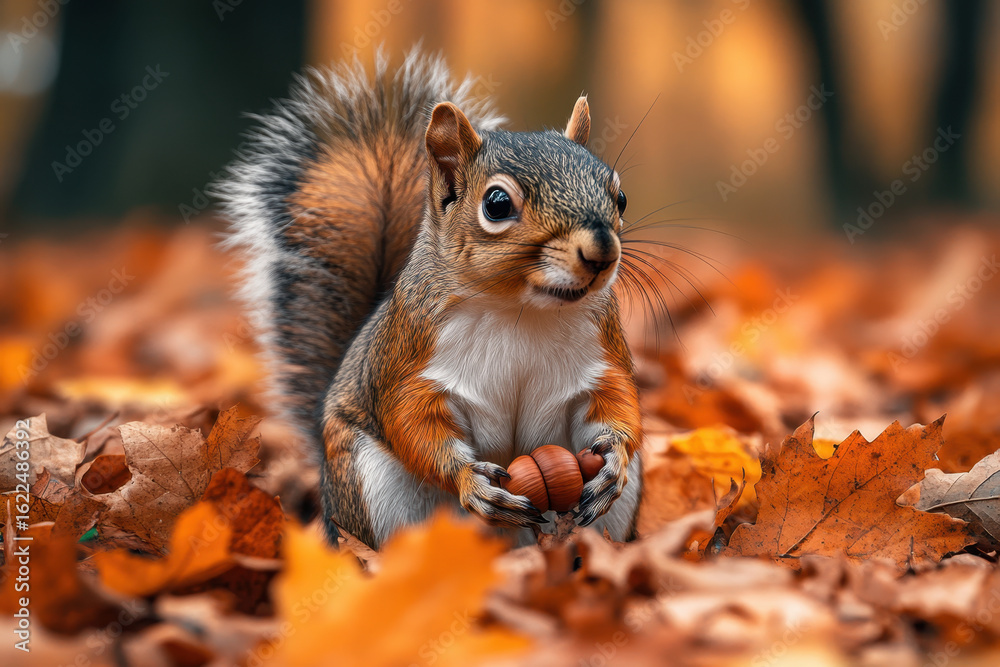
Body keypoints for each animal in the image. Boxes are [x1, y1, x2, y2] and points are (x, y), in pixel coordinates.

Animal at [219, 51, 643, 549]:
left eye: (620, 196)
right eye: (497, 204)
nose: (602, 250)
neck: (521, 309)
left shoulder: (602, 357)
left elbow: (617, 403)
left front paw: (612, 461)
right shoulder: (409, 360)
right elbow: (412, 422)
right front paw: (472, 483)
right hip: (369, 480)